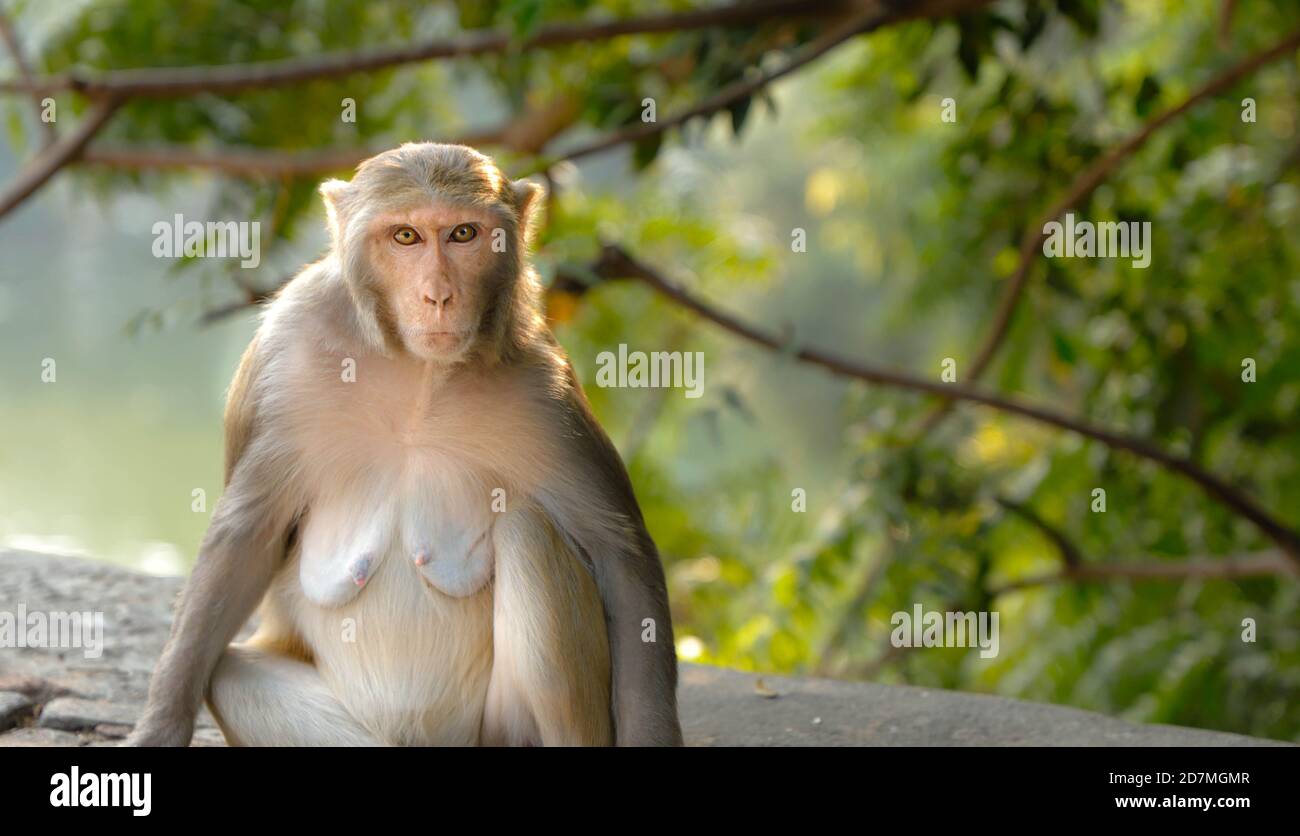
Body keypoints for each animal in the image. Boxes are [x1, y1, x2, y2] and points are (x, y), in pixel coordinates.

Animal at [126, 142, 686, 743]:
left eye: (463, 234)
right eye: (406, 236)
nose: (438, 295)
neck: (417, 373)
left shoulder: (545, 390)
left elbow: (621, 556)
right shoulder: (284, 354)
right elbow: (246, 538)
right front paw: (161, 725)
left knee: (529, 531)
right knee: (230, 675)